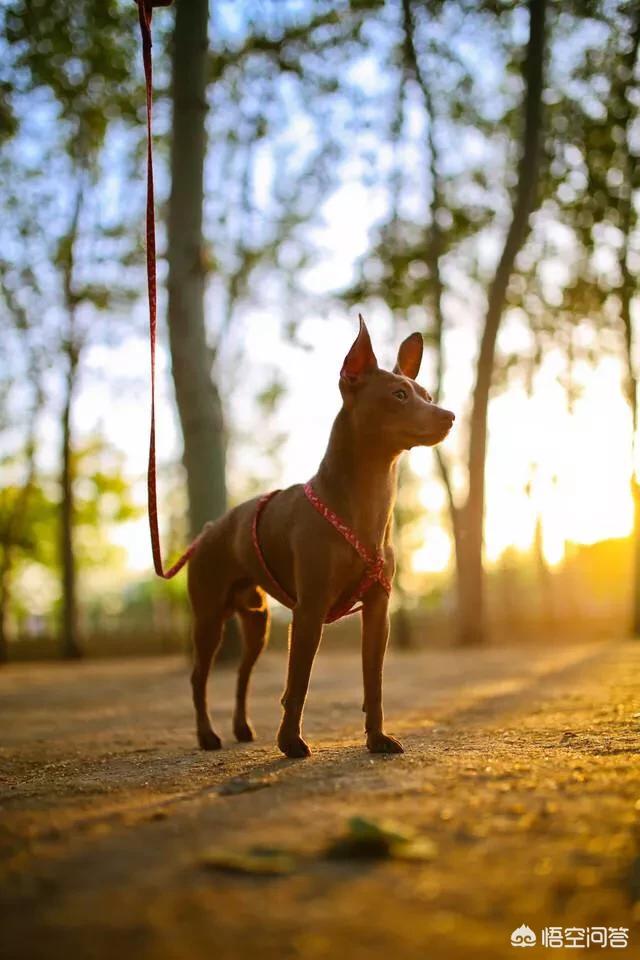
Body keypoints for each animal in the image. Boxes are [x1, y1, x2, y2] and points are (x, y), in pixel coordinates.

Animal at [186, 316, 456, 756]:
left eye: (427, 395)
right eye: (399, 394)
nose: (448, 415)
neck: (363, 505)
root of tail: (211, 528)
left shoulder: (378, 611)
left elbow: (373, 681)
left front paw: (377, 738)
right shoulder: (309, 611)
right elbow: (298, 681)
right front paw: (290, 742)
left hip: (257, 621)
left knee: (243, 675)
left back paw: (241, 728)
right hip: (210, 617)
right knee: (199, 677)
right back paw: (208, 735)